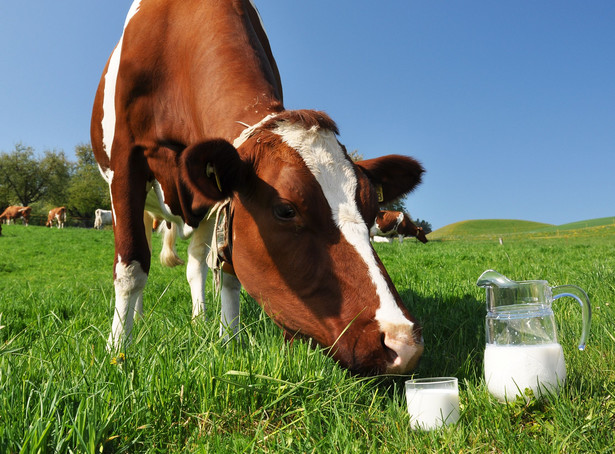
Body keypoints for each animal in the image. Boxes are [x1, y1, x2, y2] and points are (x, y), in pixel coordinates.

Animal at [91, 0, 426, 376]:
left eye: (371, 211)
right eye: (286, 210)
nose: (402, 342)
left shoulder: (223, 203)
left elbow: (229, 272)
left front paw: (229, 341)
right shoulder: (125, 163)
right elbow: (131, 266)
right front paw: (118, 350)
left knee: (197, 264)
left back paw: (199, 318)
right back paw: (137, 318)